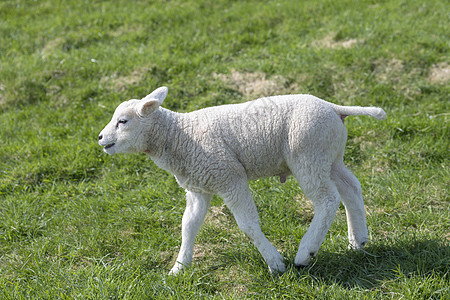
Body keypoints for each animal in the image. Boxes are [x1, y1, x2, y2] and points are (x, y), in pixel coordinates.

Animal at [96, 85, 384, 274]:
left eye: (123, 121)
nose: (100, 138)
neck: (179, 136)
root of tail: (333, 107)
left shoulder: (229, 178)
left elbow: (247, 224)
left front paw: (275, 263)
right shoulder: (199, 186)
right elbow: (188, 226)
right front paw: (179, 268)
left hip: (307, 154)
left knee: (327, 199)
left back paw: (306, 252)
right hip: (329, 155)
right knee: (350, 188)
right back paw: (358, 241)